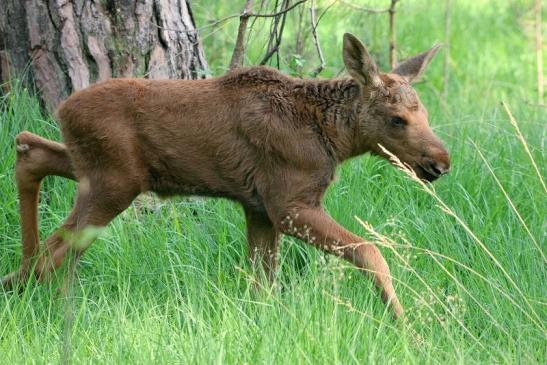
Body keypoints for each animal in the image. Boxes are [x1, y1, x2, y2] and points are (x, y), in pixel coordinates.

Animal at [1, 34, 450, 318]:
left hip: (94, 169)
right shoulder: (288, 203)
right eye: (397, 119)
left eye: (426, 113)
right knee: (55, 251)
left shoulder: (258, 208)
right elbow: (370, 251)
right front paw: (406, 325)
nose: (441, 162)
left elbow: (264, 283)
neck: (333, 139)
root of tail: (63, 109)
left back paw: (16, 282)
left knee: (30, 152)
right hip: (114, 182)